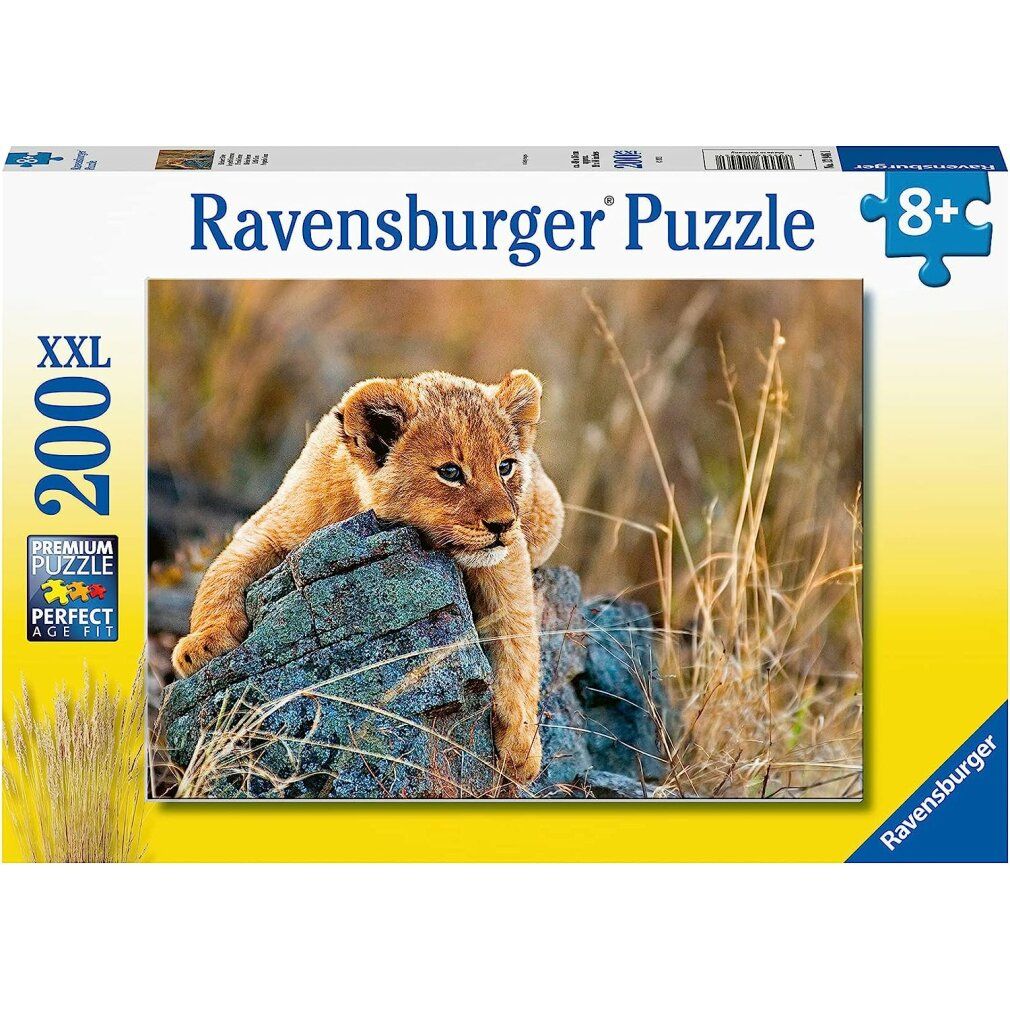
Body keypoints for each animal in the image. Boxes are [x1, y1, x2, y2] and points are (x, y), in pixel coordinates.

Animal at [172, 369, 564, 784]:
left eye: (505, 466)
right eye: (450, 472)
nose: (503, 524)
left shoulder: (507, 559)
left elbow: (519, 640)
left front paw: (521, 747)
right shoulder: (272, 526)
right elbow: (222, 572)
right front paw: (201, 645)